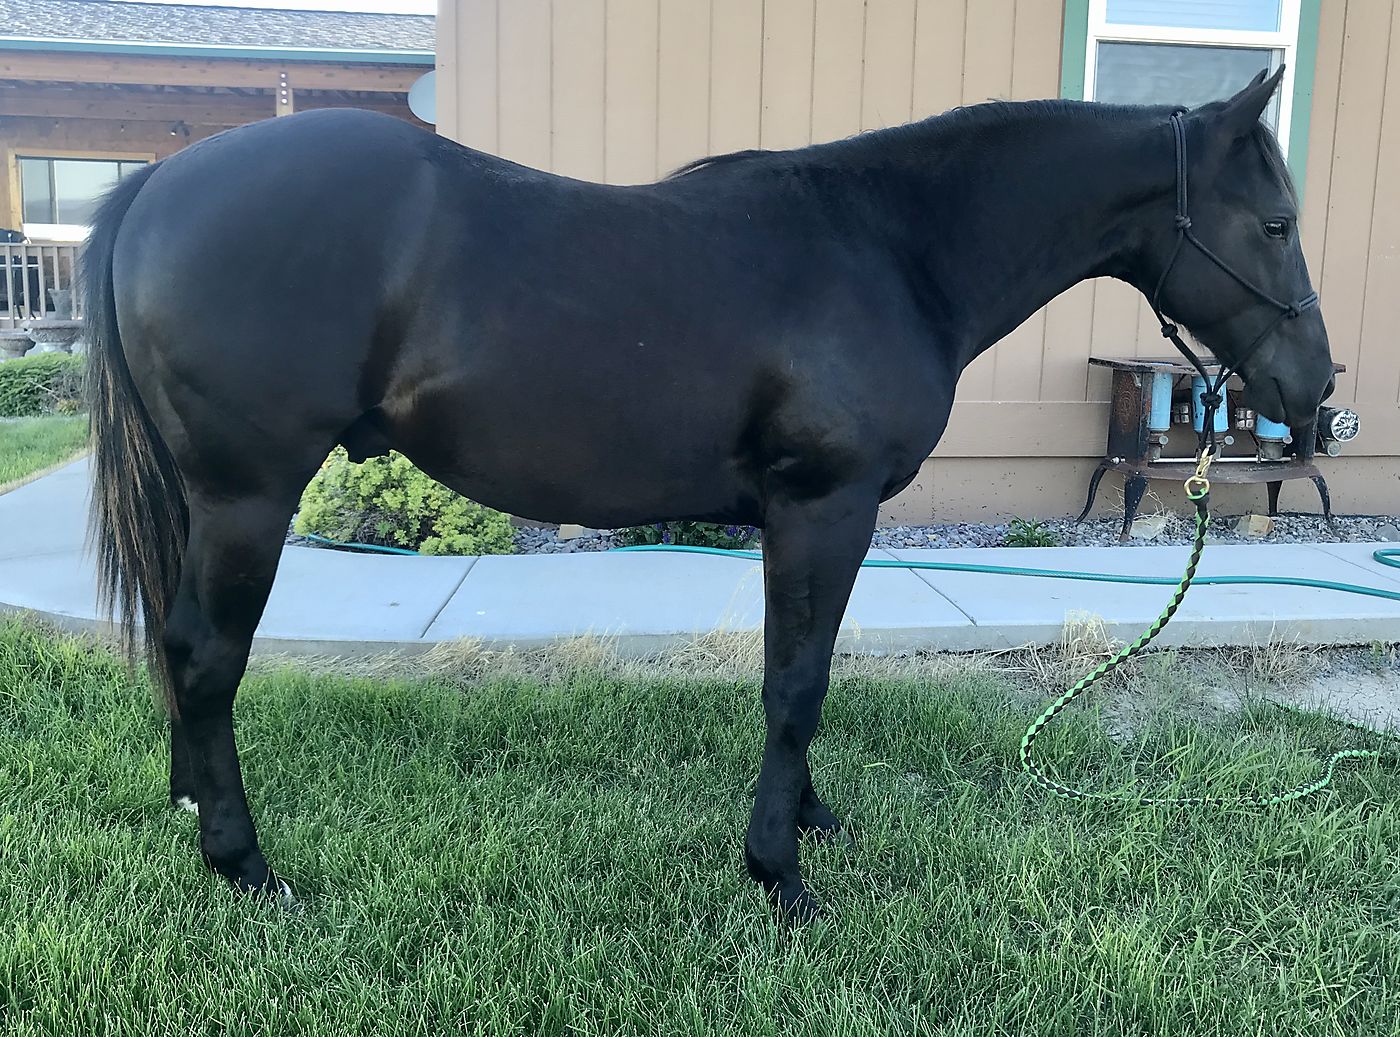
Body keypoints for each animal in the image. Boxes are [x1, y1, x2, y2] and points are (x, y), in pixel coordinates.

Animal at [82, 67, 1333, 920]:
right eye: (1273, 223)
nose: (1313, 389)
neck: (888, 248)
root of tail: (160, 184)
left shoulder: (816, 518)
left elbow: (803, 667)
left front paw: (809, 819)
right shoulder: (822, 505)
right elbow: (795, 683)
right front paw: (777, 869)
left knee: (181, 649)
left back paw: (192, 805)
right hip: (247, 494)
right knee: (208, 656)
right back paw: (244, 861)